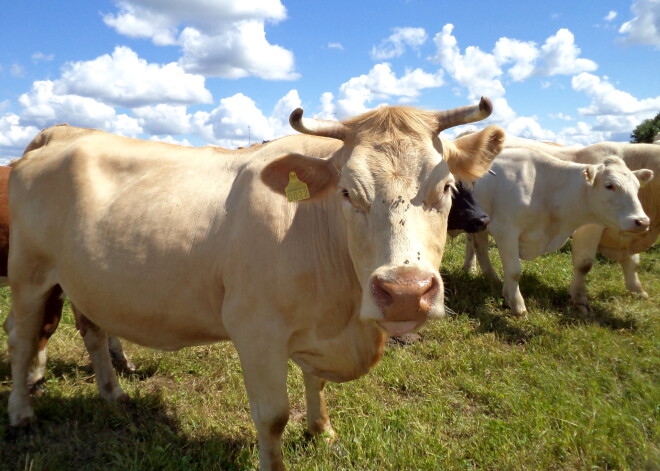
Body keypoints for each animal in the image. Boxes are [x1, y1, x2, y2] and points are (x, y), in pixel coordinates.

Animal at [6, 100, 506, 471]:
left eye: (447, 188)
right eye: (348, 192)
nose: (405, 292)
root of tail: (60, 136)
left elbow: (315, 382)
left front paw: (322, 430)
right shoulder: (256, 330)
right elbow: (272, 418)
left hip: (83, 280)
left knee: (92, 330)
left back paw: (112, 395)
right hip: (29, 273)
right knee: (21, 335)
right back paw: (21, 413)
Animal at [462, 147, 652, 318]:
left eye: (637, 187)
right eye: (609, 185)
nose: (642, 221)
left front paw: (508, 297)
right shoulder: (505, 231)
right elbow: (514, 271)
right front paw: (518, 306)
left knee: (478, 247)